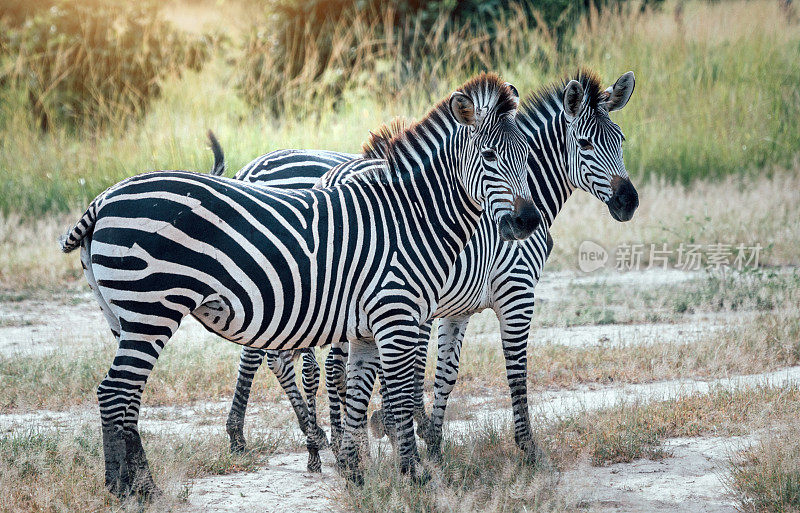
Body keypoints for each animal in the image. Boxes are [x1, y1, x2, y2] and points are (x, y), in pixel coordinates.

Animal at [59, 73, 540, 496]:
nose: (528, 221)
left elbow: (360, 392)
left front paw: (358, 473)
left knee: (125, 398)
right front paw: (414, 475)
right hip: (150, 309)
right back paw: (130, 489)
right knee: (115, 393)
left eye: (527, 154)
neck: (413, 215)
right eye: (491, 156)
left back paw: (133, 485)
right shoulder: (398, 316)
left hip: (124, 317)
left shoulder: (370, 327)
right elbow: (402, 394)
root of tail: (104, 198)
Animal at [211, 67, 636, 460]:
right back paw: (307, 441)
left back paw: (314, 442)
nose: (628, 202)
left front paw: (428, 438)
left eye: (621, 140)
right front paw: (524, 448)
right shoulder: (515, 292)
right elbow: (513, 370)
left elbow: (443, 372)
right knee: (288, 357)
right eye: (584, 143)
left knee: (292, 358)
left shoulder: (454, 307)